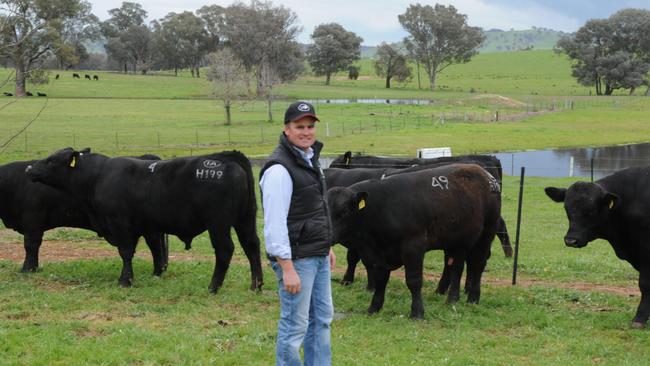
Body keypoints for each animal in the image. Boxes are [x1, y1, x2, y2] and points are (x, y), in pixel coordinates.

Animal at [0, 151, 167, 274]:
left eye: (51, 161)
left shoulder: (33, 219)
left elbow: (31, 244)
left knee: (154, 243)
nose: (29, 169)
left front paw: (28, 269)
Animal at [24, 147, 264, 294]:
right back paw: (256, 285)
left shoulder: (120, 225)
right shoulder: (149, 227)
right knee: (252, 245)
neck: (98, 177)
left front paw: (125, 280)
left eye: (51, 160)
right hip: (245, 219)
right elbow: (155, 249)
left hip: (219, 224)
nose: (28, 169)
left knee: (225, 250)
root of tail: (226, 157)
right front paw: (156, 274)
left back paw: (213, 287)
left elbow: (126, 252)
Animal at [326, 163, 498, 318]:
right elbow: (381, 279)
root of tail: (484, 173)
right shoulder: (381, 254)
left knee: (478, 264)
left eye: (344, 211)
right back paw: (452, 299)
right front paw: (374, 308)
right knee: (456, 267)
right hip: (458, 241)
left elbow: (413, 280)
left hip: (487, 233)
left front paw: (417, 312)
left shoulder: (413, 247)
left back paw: (473, 298)